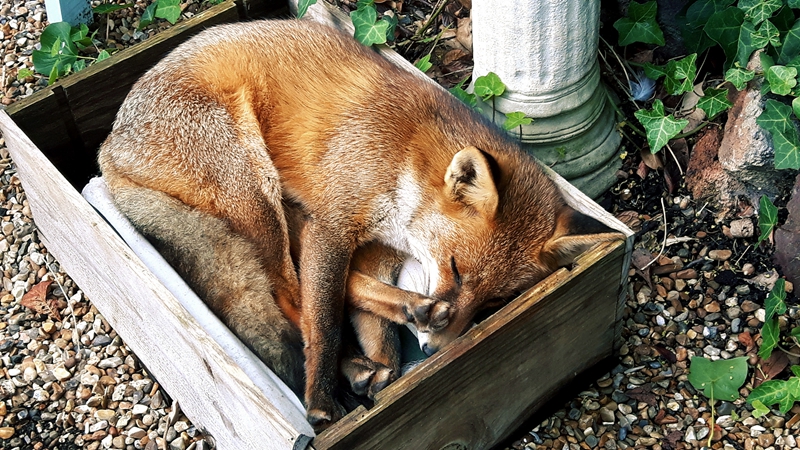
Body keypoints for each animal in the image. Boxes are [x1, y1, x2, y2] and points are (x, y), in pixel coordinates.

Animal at [98, 19, 624, 430]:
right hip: (254, 191)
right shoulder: (333, 225)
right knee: (289, 297)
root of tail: (107, 154)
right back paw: (346, 368)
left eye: (494, 302)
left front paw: (393, 344)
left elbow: (370, 322)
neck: (404, 160)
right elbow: (326, 320)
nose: (436, 350)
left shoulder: (376, 245)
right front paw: (320, 398)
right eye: (455, 269)